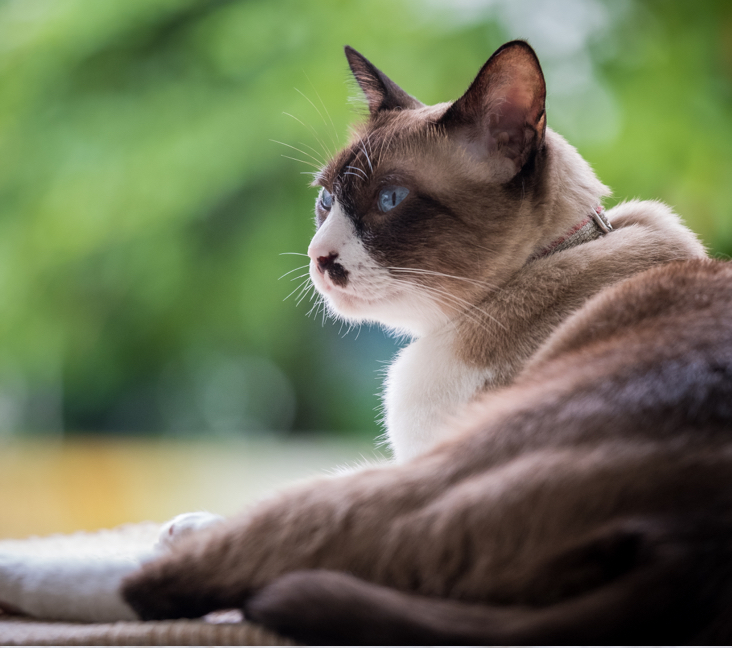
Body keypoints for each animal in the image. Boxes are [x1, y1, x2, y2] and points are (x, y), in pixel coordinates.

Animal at [1, 43, 728, 644]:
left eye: (390, 200)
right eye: (326, 201)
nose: (319, 259)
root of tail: (692, 548)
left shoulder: (417, 457)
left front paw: (179, 535)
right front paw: (185, 526)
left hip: (450, 471)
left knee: (184, 581)